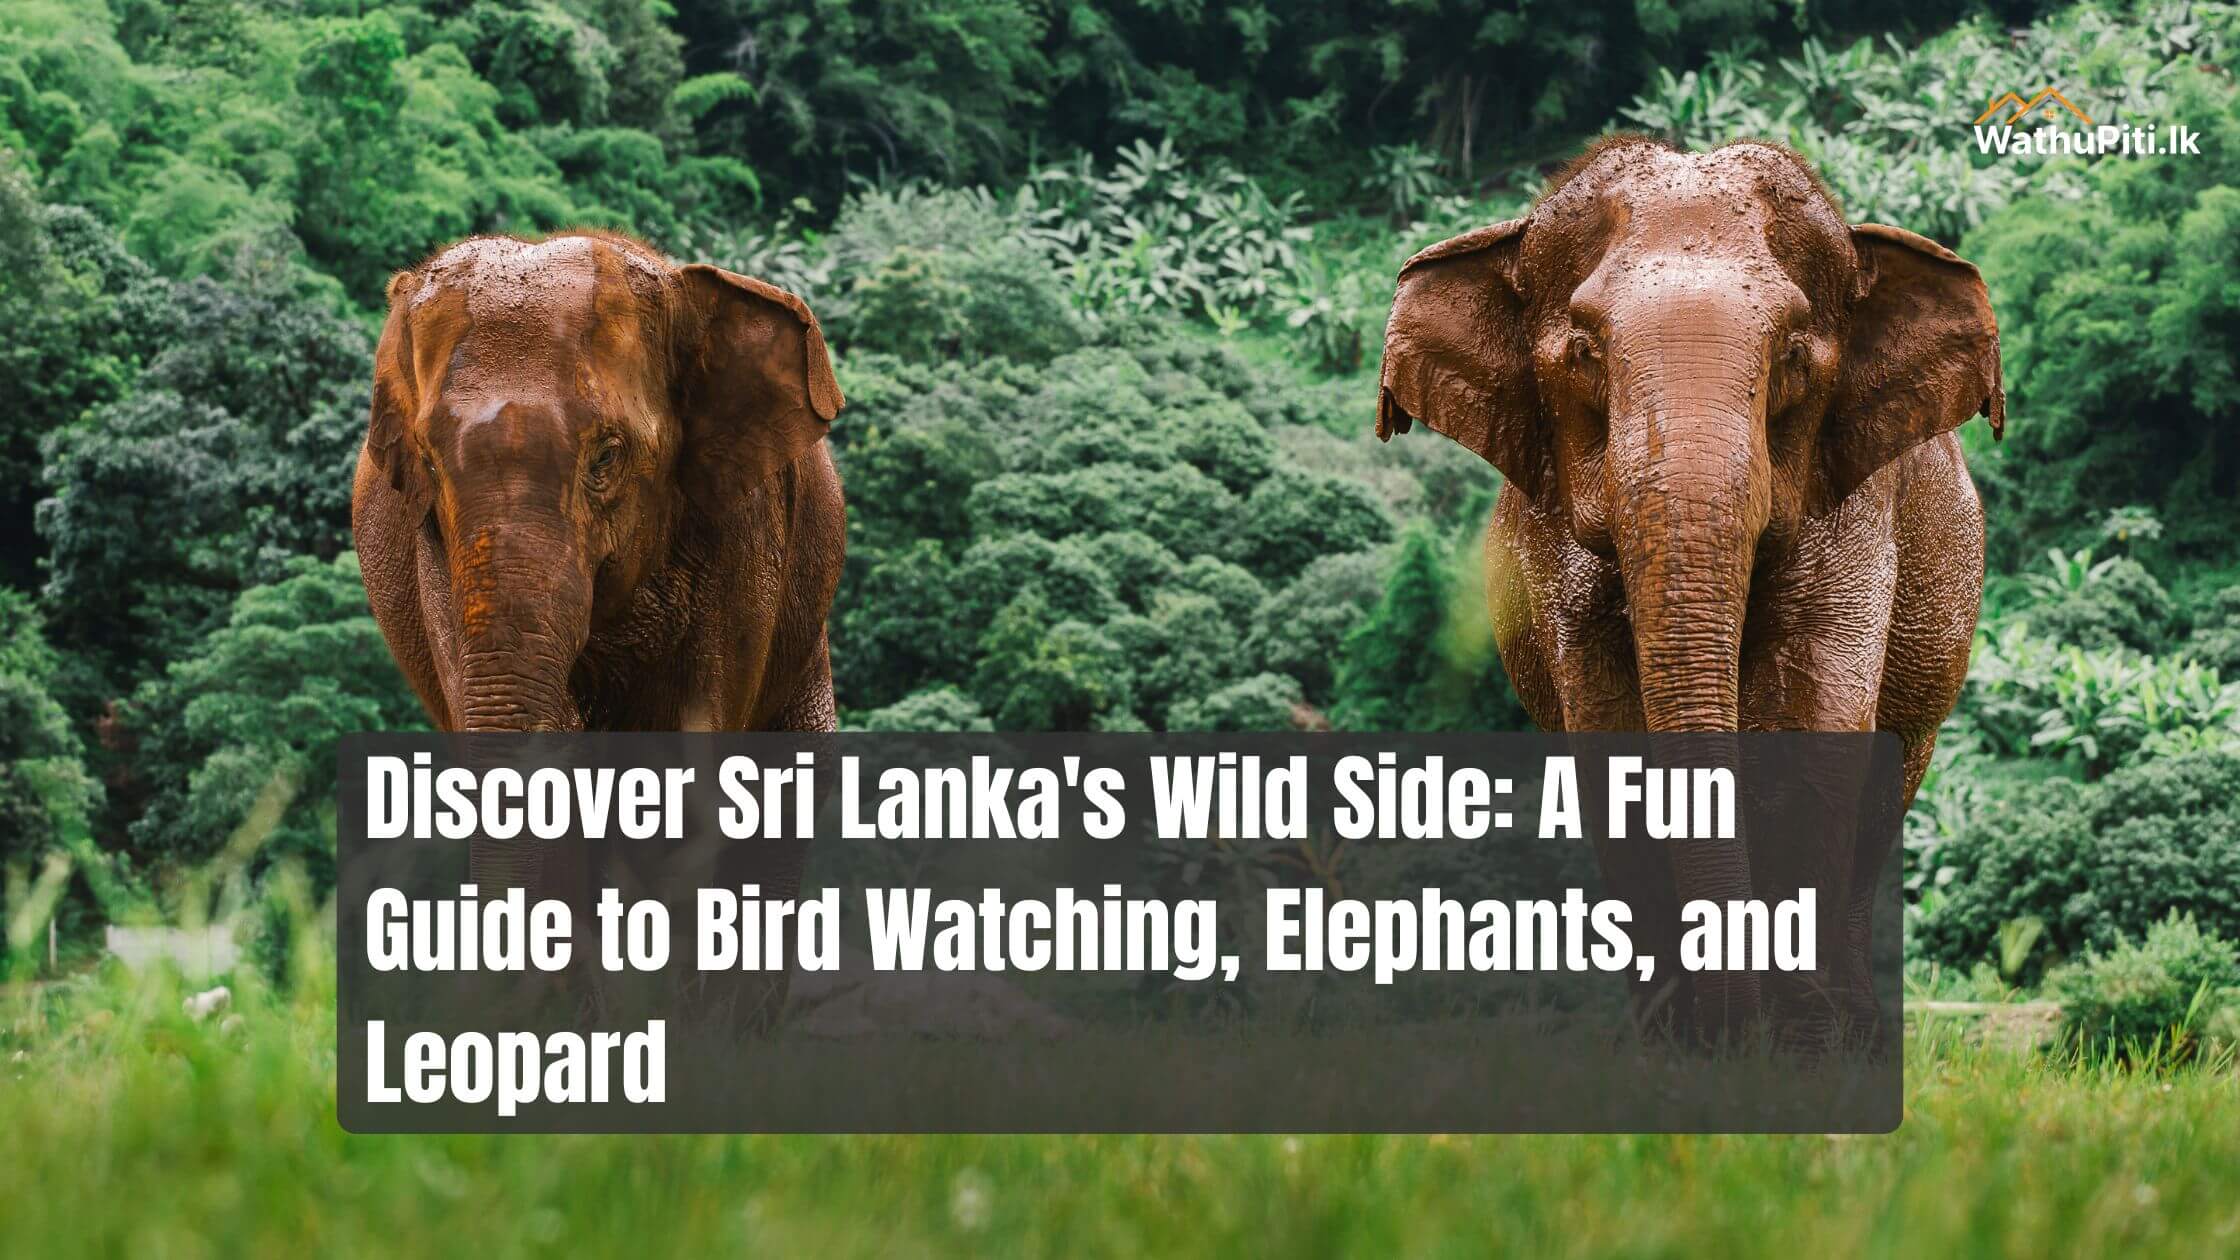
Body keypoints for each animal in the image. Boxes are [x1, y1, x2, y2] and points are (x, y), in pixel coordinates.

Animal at [1376, 137, 2003, 1041]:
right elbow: (1610, 737)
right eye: (1584, 353)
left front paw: (1798, 1043)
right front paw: (1688, 1044)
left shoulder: (1854, 502)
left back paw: (1856, 1031)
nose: (1732, 1029)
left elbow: (1811, 717)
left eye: (1793, 355)